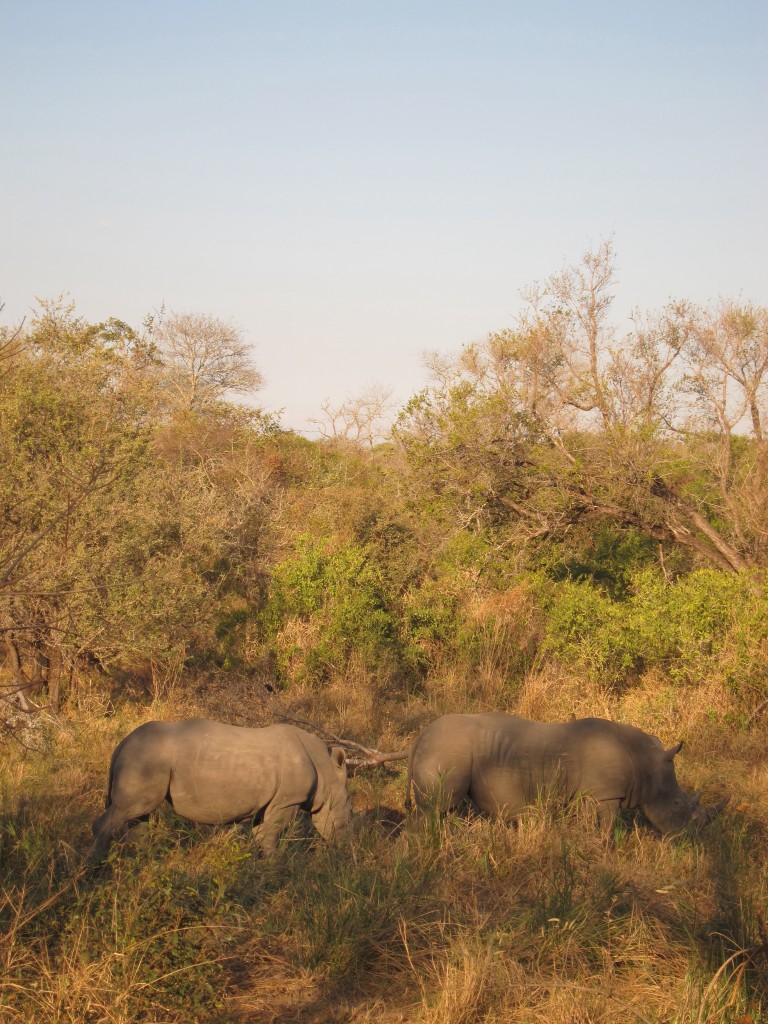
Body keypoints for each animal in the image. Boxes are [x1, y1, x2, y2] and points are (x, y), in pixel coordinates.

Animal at [91, 716, 354, 860]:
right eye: (349, 810)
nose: (345, 847)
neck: (325, 768)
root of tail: (121, 744)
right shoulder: (288, 799)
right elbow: (271, 834)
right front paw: (276, 863)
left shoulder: (269, 801)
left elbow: (262, 833)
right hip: (144, 759)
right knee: (129, 810)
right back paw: (95, 865)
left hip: (144, 759)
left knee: (139, 815)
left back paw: (146, 861)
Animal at [405, 712, 729, 831]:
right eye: (677, 803)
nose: (691, 836)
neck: (644, 761)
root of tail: (420, 736)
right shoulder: (605, 795)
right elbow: (607, 827)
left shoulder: (589, 794)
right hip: (447, 748)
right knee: (436, 809)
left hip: (444, 748)